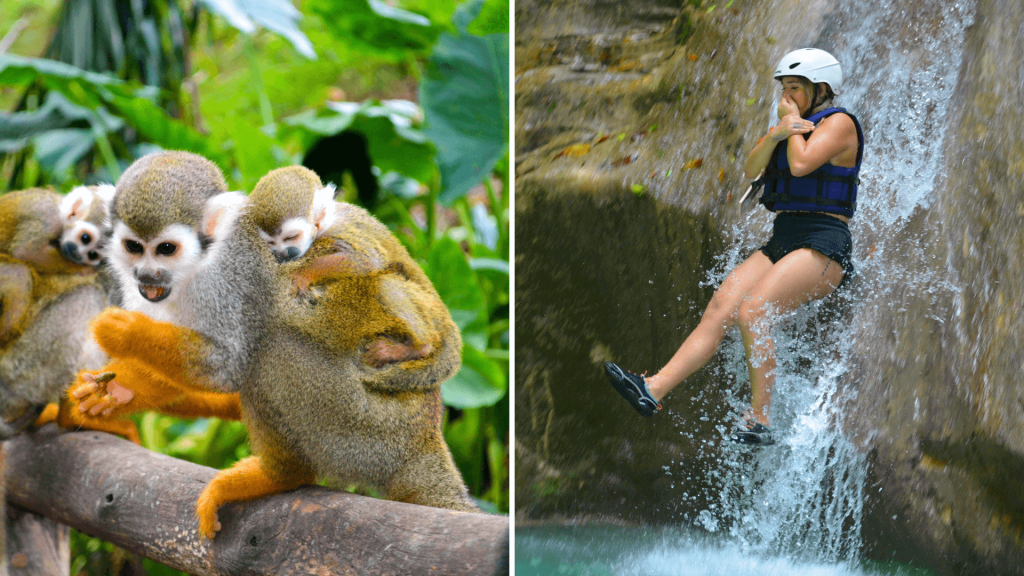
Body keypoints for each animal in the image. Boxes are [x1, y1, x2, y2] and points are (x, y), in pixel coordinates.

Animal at [66, 153, 477, 538]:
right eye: (134, 247)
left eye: (166, 248)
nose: (147, 276)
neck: (198, 266)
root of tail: (425, 439)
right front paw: (114, 392)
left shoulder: (230, 281)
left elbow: (227, 366)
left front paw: (126, 331)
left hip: (362, 429)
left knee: (269, 351)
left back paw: (281, 475)